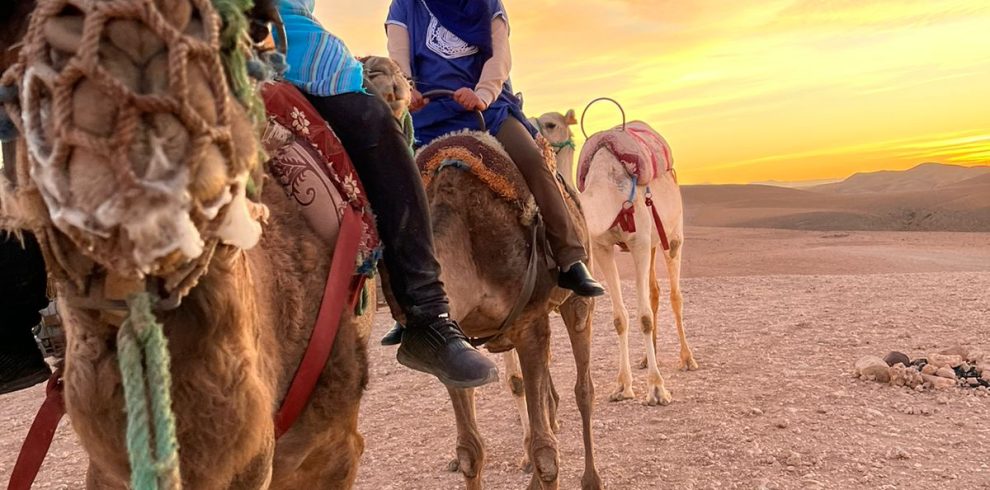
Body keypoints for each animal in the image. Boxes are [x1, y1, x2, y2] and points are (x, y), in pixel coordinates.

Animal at [410, 118, 602, 489]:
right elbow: (469, 451)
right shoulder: (450, 351)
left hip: (576, 300)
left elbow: (546, 454)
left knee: (583, 389)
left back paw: (592, 479)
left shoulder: (530, 324)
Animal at [535, 111, 697, 407]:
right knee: (654, 291)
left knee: (675, 295)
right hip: (653, 243)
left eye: (551, 124)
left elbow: (643, 316)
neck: (608, 191)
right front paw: (623, 386)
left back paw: (687, 358)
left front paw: (657, 389)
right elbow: (620, 318)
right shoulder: (602, 247)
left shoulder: (639, 243)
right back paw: (647, 358)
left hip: (673, 235)